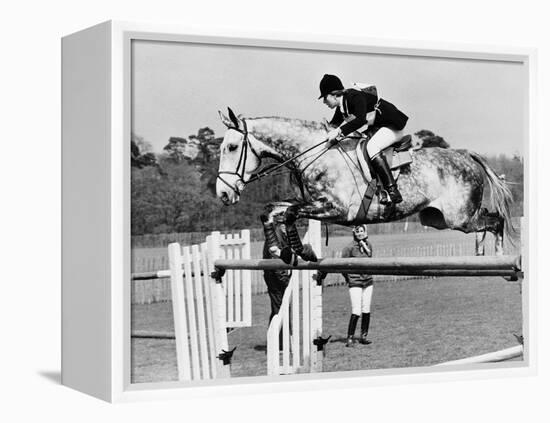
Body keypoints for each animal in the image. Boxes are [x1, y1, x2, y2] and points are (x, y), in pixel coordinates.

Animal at [216, 108, 512, 258]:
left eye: (231, 147)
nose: (223, 193)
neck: (314, 153)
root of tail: (465, 154)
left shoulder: (335, 210)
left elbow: (289, 213)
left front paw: (300, 250)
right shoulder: (310, 202)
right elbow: (272, 210)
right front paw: (278, 248)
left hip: (459, 217)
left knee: (496, 221)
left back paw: (501, 257)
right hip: (437, 218)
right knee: (488, 222)